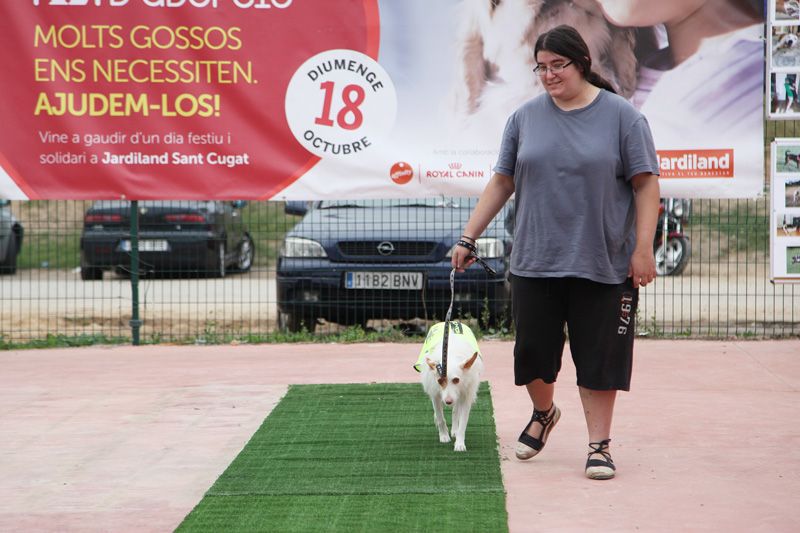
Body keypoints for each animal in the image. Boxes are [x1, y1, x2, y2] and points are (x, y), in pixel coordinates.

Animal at [414, 321, 484, 452]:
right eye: (440, 381)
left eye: (456, 380)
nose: (448, 401)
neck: (450, 354)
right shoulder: (435, 394)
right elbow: (440, 417)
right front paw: (444, 436)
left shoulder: (466, 395)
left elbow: (463, 422)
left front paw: (460, 443)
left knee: (456, 411)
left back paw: (454, 430)